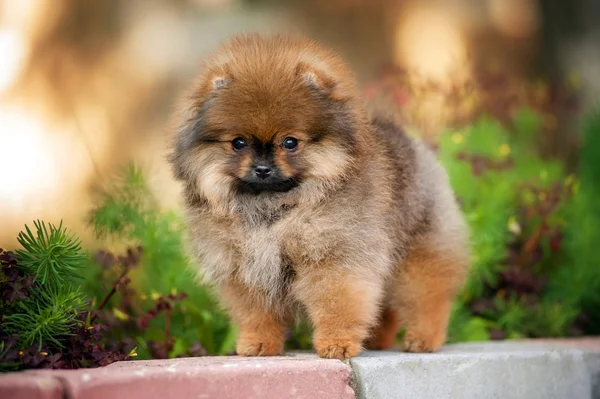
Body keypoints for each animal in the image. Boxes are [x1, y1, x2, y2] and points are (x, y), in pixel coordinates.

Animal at [169, 33, 468, 360]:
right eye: (238, 143)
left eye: (290, 142)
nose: (262, 168)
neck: (274, 208)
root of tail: (414, 144)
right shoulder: (245, 266)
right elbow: (257, 313)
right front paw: (259, 343)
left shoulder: (334, 256)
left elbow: (336, 302)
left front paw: (337, 343)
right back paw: (377, 339)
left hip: (419, 249)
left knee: (427, 296)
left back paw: (423, 338)